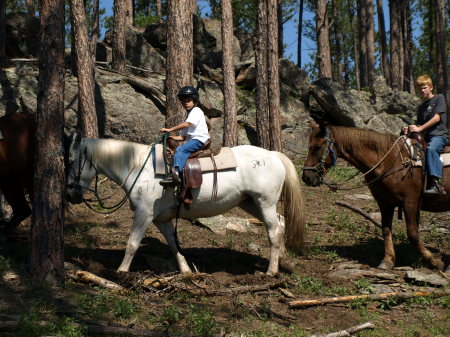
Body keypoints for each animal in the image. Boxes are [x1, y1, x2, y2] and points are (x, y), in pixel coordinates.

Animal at [67, 134, 306, 276]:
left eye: (71, 161)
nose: (70, 194)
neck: (137, 166)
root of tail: (273, 155)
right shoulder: (161, 219)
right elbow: (174, 245)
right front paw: (186, 271)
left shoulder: (144, 214)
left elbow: (132, 244)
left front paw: (121, 272)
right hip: (251, 203)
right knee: (281, 224)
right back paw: (284, 261)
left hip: (264, 202)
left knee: (274, 231)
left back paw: (271, 271)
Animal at [302, 121, 450, 270]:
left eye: (317, 147)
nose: (306, 177)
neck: (391, 161)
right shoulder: (385, 203)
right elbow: (386, 230)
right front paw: (388, 260)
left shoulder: (411, 202)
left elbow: (412, 234)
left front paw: (435, 261)